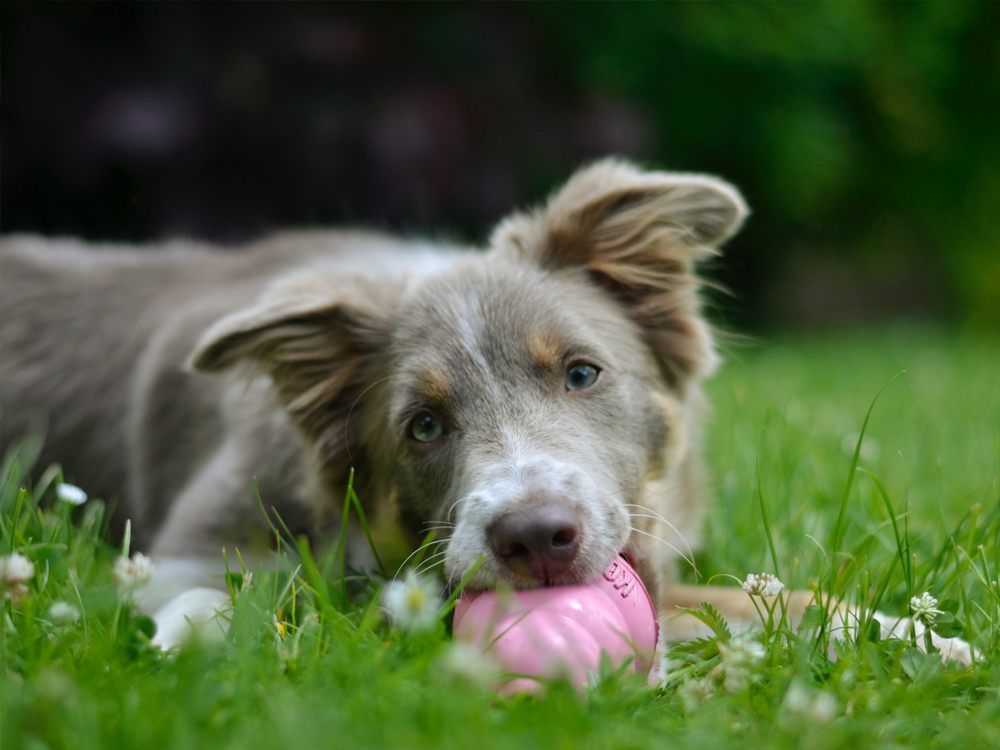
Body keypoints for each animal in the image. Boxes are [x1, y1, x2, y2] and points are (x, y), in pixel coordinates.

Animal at [0, 160, 968, 664]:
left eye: (581, 373)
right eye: (423, 426)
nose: (535, 540)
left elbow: (758, 599)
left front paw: (909, 637)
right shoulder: (186, 549)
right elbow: (236, 595)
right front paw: (187, 638)